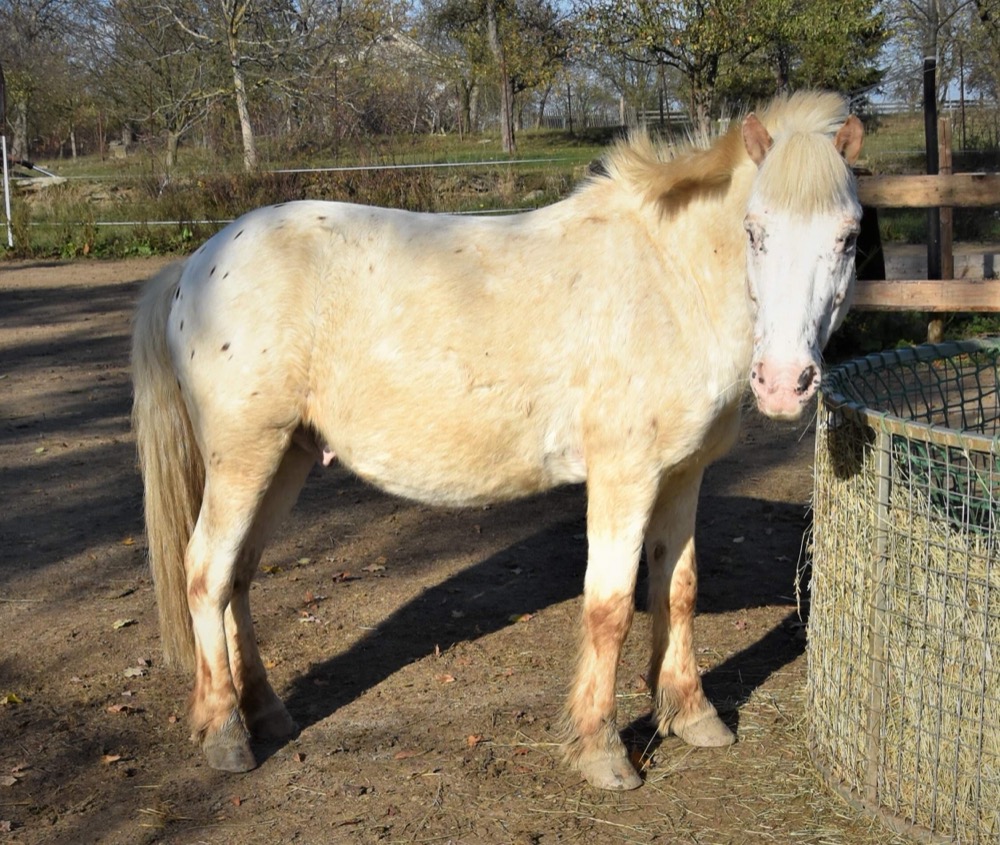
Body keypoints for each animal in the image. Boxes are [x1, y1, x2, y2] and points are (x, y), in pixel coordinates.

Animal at [131, 92, 868, 792]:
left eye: (849, 237)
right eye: (755, 230)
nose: (784, 382)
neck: (666, 281)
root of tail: (197, 266)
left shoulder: (683, 475)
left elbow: (677, 588)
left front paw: (692, 716)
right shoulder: (624, 475)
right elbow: (608, 608)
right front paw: (602, 751)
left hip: (284, 458)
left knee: (238, 579)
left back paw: (265, 712)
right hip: (244, 457)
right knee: (206, 573)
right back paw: (226, 733)